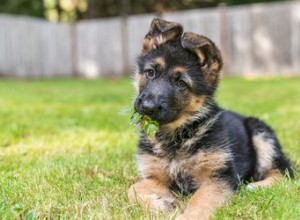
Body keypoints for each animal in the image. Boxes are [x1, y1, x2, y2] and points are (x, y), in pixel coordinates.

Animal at [127, 18, 292, 220]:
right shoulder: (155, 177)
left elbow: (200, 202)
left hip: (261, 135)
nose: (147, 107)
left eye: (181, 83)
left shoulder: (218, 177)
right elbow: (133, 189)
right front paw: (164, 205)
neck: (176, 136)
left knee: (284, 173)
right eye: (150, 73)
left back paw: (256, 186)